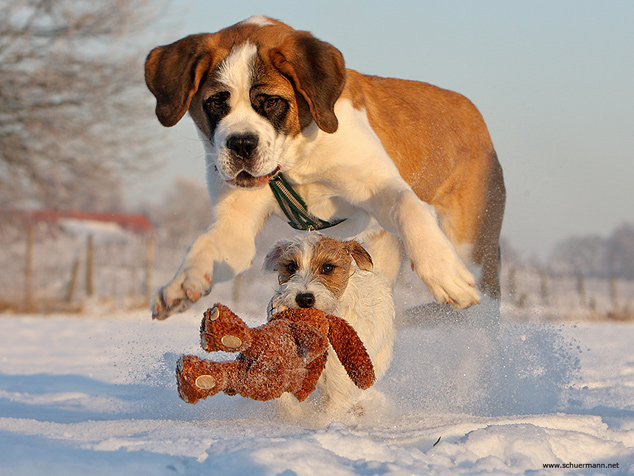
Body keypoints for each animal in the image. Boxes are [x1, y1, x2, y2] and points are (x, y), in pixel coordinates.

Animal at [143, 17, 504, 324]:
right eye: (217, 102)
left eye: (270, 102)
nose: (242, 143)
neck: (295, 159)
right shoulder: (236, 223)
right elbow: (206, 243)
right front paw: (182, 283)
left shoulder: (378, 185)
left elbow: (407, 205)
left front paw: (444, 273)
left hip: (474, 244)